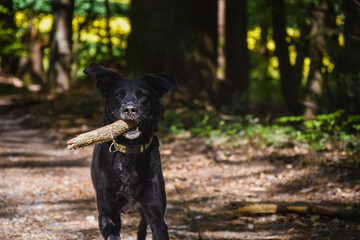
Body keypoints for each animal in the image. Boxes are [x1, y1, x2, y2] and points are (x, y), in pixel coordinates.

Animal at [85, 62, 178, 239]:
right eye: (118, 95)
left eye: (143, 96)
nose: (129, 109)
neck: (129, 151)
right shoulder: (107, 214)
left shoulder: (156, 215)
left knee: (141, 228)